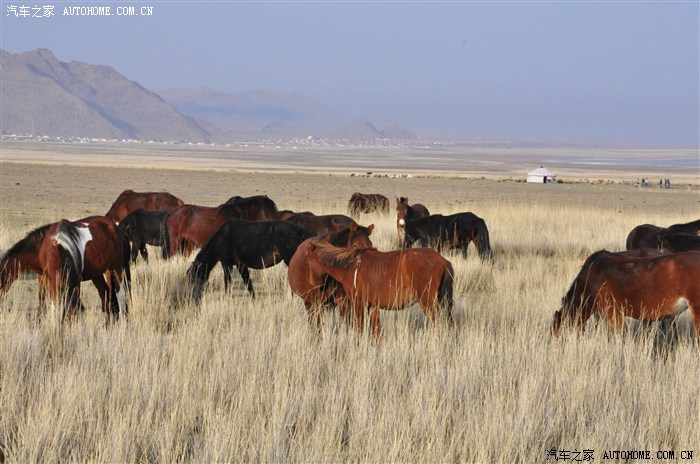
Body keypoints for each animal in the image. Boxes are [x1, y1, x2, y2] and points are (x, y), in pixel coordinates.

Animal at [0, 217, 130, 322]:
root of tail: (116, 228)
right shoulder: (45, 276)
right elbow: (44, 298)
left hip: (116, 268)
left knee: (120, 294)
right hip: (97, 273)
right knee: (105, 292)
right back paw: (106, 323)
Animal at [306, 241, 454, 342]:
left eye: (307, 262)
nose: (311, 285)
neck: (351, 266)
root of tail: (442, 261)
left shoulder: (359, 304)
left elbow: (359, 329)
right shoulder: (373, 306)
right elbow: (376, 332)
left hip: (427, 303)